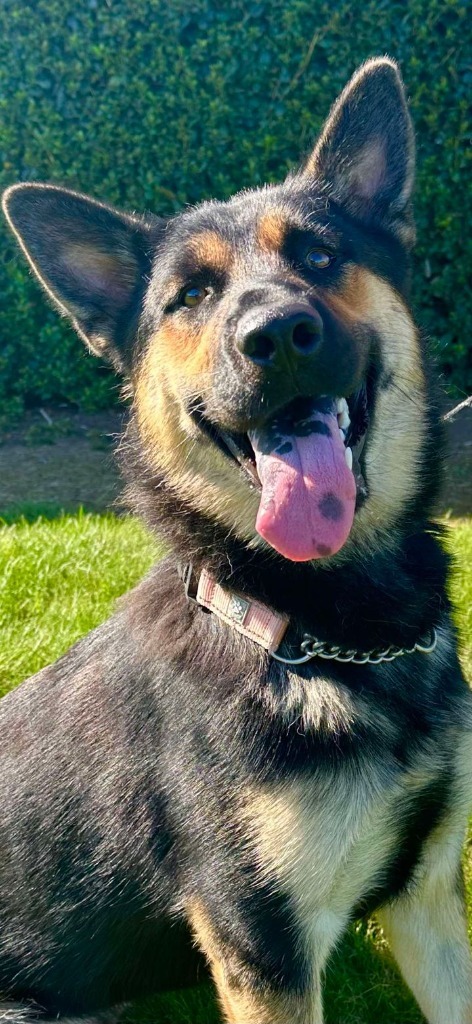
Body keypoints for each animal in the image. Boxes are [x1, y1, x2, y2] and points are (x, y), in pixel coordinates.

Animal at [0, 58, 470, 1024]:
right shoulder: (263, 943)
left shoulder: (431, 900)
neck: (326, 635)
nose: (277, 334)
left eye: (320, 258)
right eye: (192, 296)